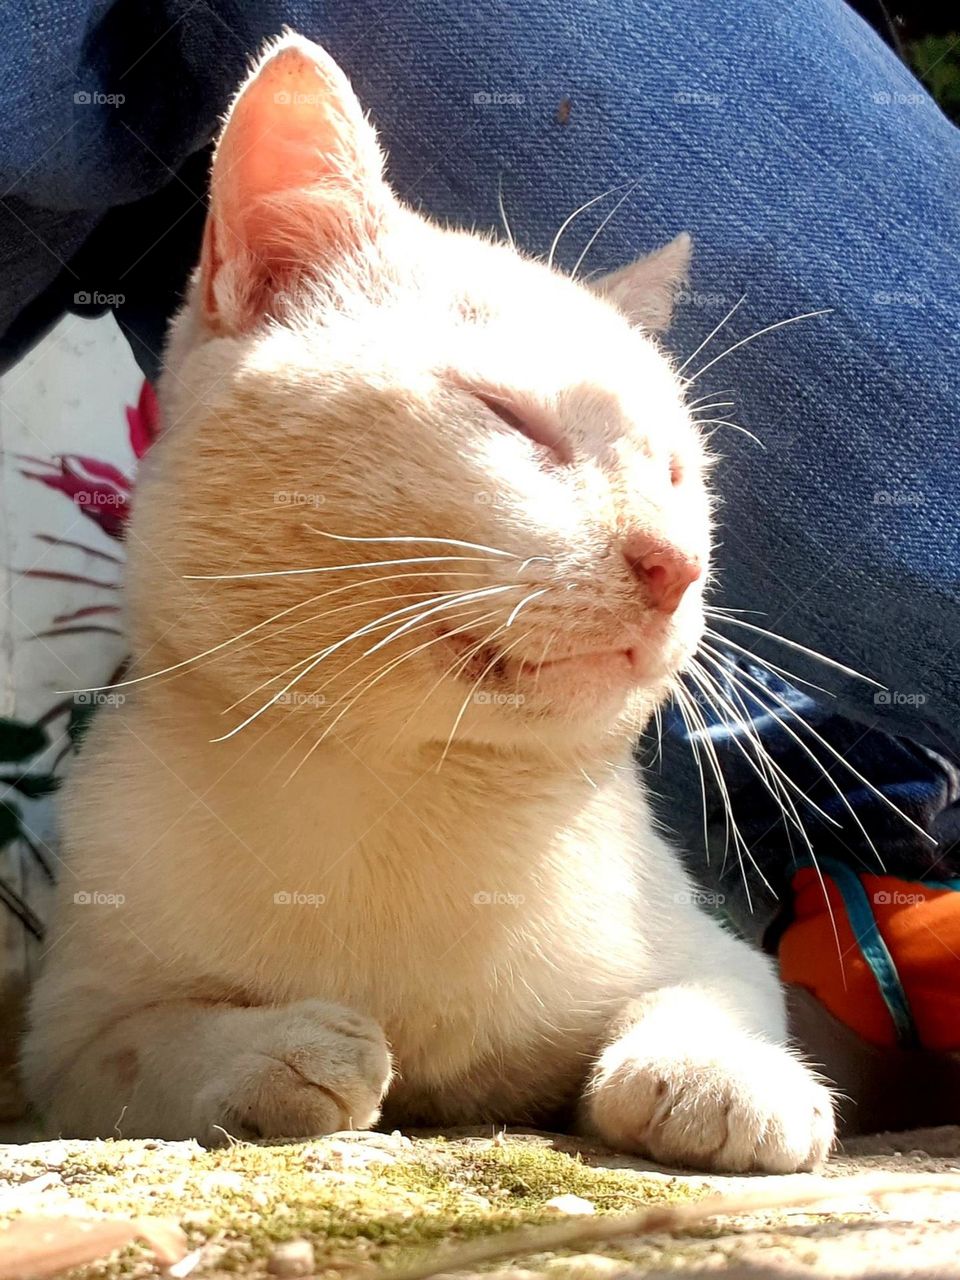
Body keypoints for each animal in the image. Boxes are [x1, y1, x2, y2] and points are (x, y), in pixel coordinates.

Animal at [20, 32, 834, 1172]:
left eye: (678, 473)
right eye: (512, 416)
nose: (673, 561)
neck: (415, 787)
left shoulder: (716, 950)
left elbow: (709, 994)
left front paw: (724, 1076)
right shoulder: (65, 1037)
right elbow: (146, 1045)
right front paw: (275, 1051)